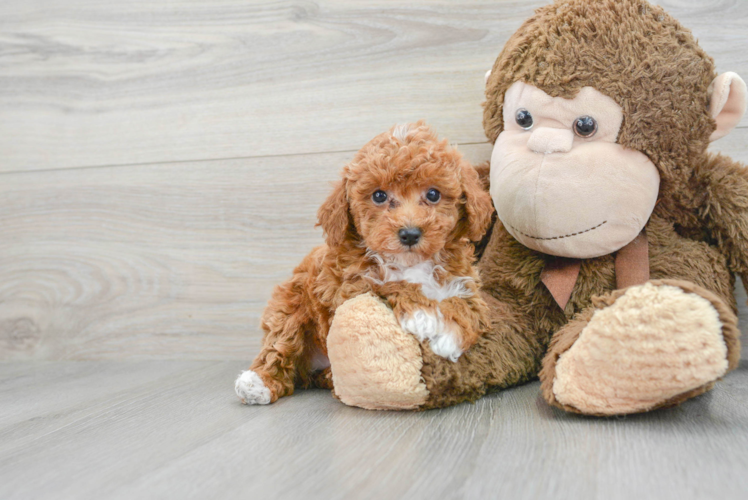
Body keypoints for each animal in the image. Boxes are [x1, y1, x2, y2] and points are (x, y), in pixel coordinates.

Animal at [234, 122, 490, 406]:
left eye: (433, 194)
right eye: (379, 196)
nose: (410, 234)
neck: (411, 264)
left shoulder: (465, 285)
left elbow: (467, 308)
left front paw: (450, 335)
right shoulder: (351, 285)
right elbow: (398, 286)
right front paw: (430, 319)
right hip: (289, 304)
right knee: (280, 341)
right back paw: (257, 382)